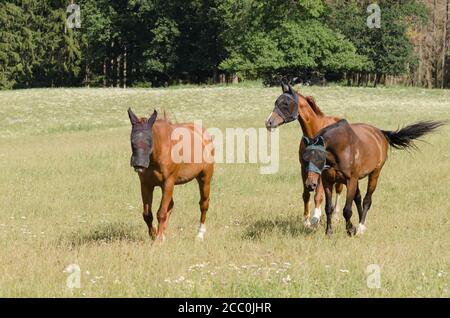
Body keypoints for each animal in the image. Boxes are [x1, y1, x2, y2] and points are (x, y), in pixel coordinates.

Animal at [128, 108, 214, 241]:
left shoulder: (168, 182)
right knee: (171, 205)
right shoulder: (146, 185)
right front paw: (155, 234)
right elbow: (147, 214)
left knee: (204, 204)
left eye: (149, 140)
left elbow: (161, 213)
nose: (139, 164)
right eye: (132, 139)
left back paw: (200, 234)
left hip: (205, 178)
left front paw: (158, 240)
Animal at [266, 84, 342, 229]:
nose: (268, 122)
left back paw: (335, 216)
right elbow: (306, 194)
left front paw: (315, 218)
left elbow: (318, 194)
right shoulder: (304, 167)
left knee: (338, 189)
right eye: (276, 102)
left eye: (285, 103)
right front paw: (306, 221)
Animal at [300, 118, 444, 235]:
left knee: (366, 200)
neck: (340, 148)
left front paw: (351, 230)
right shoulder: (328, 181)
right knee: (358, 198)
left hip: (375, 173)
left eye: (319, 158)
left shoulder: (351, 180)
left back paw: (361, 227)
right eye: (305, 159)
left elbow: (347, 210)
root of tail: (380, 133)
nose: (310, 184)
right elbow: (328, 208)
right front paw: (329, 232)